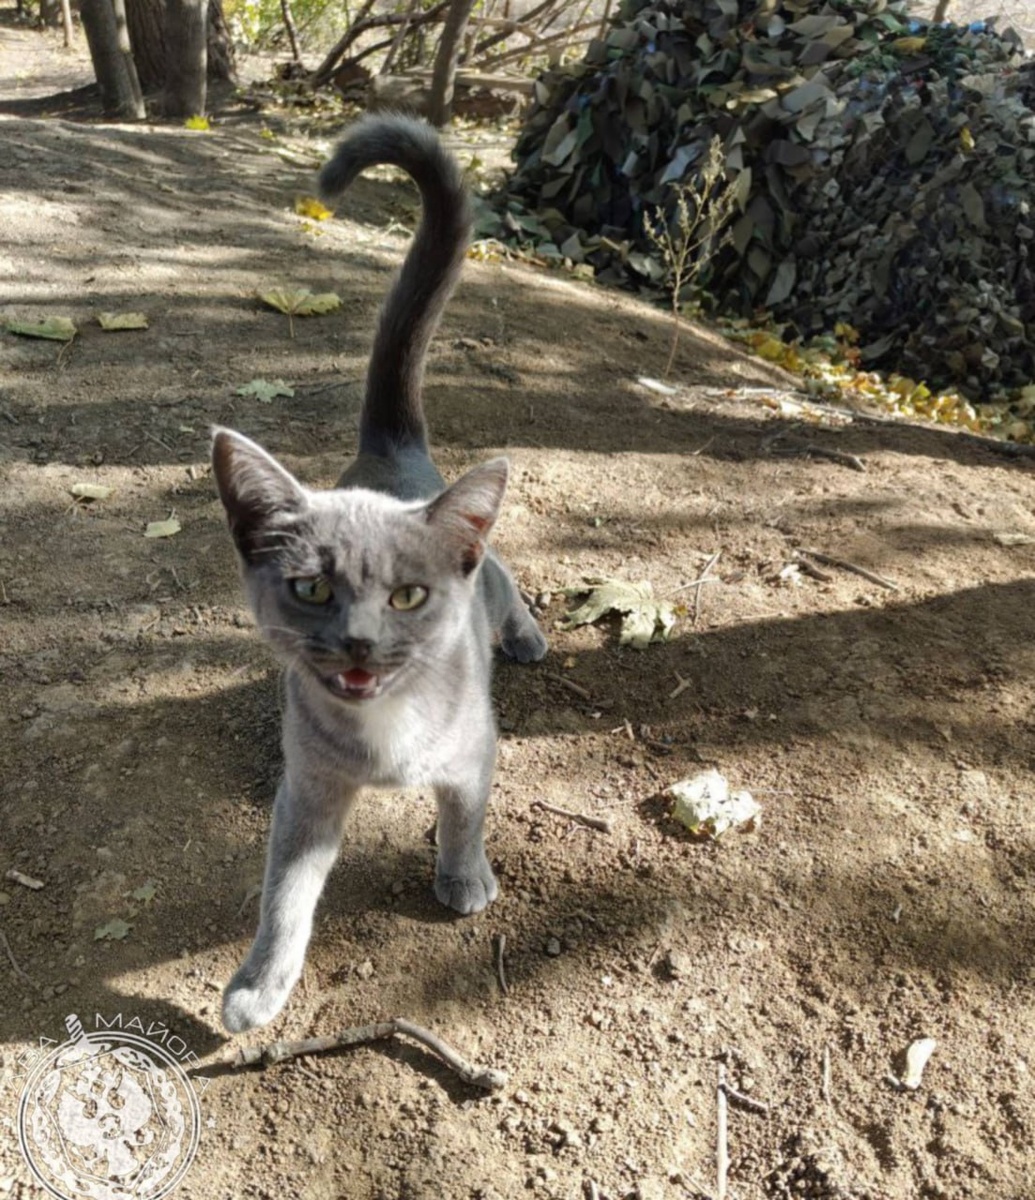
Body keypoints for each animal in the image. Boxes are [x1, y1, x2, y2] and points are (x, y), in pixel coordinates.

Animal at [211, 114, 547, 1034]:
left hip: (489, 577)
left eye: (407, 596)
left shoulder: (474, 751)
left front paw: (465, 879)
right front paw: (260, 983)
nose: (359, 643)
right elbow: (284, 892)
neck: (386, 729)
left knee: (505, 577)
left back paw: (528, 635)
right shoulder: (309, 789)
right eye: (312, 588)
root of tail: (391, 455)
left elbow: (465, 818)